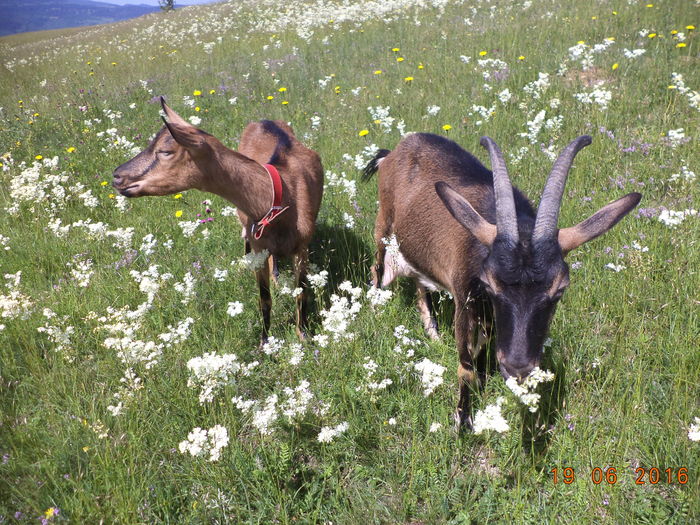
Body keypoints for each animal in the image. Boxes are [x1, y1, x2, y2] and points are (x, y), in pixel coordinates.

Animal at [113, 97, 324, 342]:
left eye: (165, 151)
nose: (116, 176)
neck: (278, 195)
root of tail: (265, 120)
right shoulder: (259, 246)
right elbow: (264, 298)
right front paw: (264, 341)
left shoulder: (302, 246)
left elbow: (301, 293)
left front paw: (304, 335)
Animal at [364, 133, 644, 428]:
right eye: (490, 284)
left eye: (560, 289)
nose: (518, 367)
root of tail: (394, 152)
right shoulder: (465, 298)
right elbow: (465, 364)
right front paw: (463, 420)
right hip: (383, 224)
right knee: (376, 266)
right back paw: (375, 309)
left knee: (421, 284)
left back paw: (434, 333)